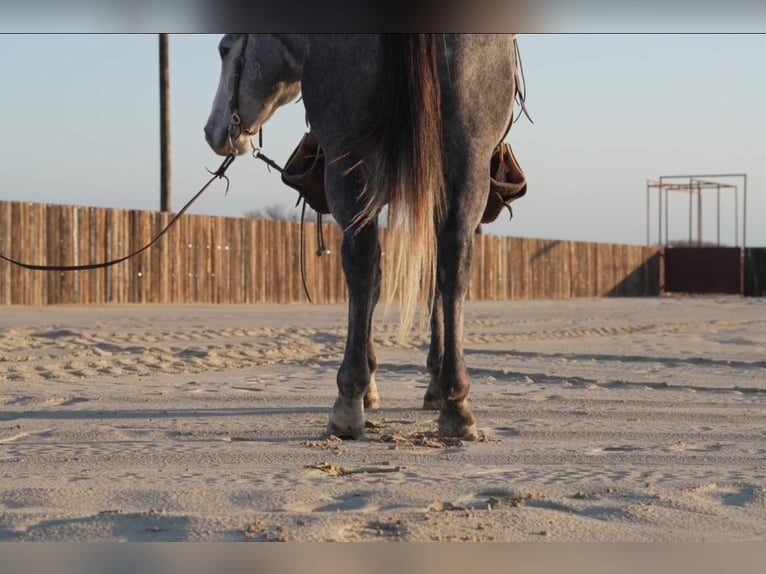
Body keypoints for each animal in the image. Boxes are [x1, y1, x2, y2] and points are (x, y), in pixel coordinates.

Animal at [206, 35, 520, 440]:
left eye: (224, 50)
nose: (213, 131)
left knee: (367, 264)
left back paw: (352, 401)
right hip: (463, 160)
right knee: (445, 263)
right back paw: (453, 404)